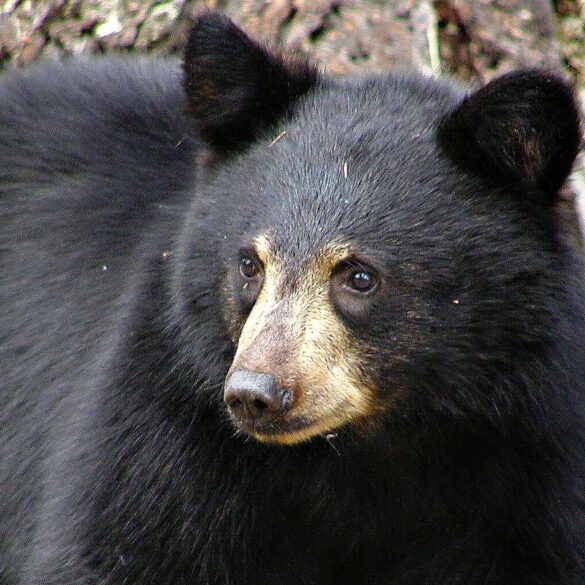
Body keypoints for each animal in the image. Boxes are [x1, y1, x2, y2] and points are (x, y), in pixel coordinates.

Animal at [1, 10, 584, 584]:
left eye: (359, 277)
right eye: (250, 264)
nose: (254, 394)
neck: (365, 450)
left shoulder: (535, 455)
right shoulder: (164, 417)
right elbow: (116, 547)